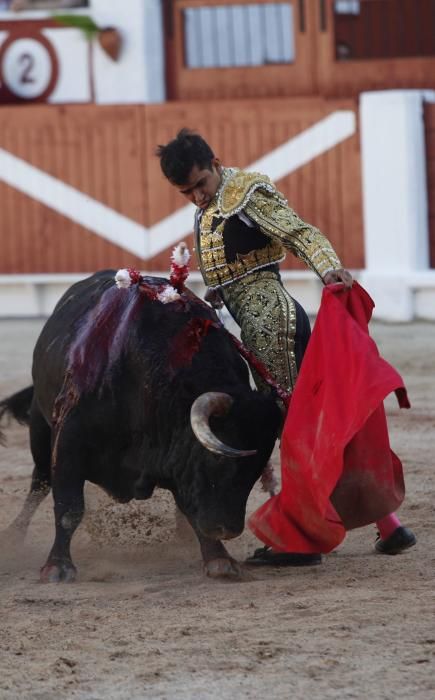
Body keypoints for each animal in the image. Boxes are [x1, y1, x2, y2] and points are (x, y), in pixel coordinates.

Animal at [0, 270, 282, 584]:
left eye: (257, 470)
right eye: (218, 461)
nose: (228, 529)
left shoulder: (177, 458)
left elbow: (189, 504)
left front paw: (218, 558)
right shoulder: (69, 438)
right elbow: (68, 506)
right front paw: (57, 567)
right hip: (40, 424)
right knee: (39, 482)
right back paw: (13, 535)